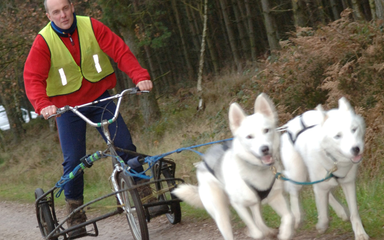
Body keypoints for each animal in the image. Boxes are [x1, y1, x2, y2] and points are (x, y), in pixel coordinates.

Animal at [172, 94, 292, 240]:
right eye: (249, 136)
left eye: (266, 130)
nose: (265, 149)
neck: (255, 168)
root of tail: (203, 162)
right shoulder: (238, 205)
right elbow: (256, 232)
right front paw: (255, 233)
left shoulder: (275, 197)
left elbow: (288, 216)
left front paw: (284, 232)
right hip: (221, 214)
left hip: (254, 203)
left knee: (258, 219)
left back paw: (268, 230)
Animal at [280, 96, 370, 239]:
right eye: (338, 136)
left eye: (354, 129)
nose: (356, 149)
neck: (334, 160)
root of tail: (291, 122)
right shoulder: (321, 184)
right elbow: (323, 212)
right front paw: (322, 225)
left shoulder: (348, 183)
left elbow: (354, 213)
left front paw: (360, 233)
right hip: (298, 174)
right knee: (294, 190)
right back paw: (297, 217)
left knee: (326, 192)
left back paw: (340, 211)